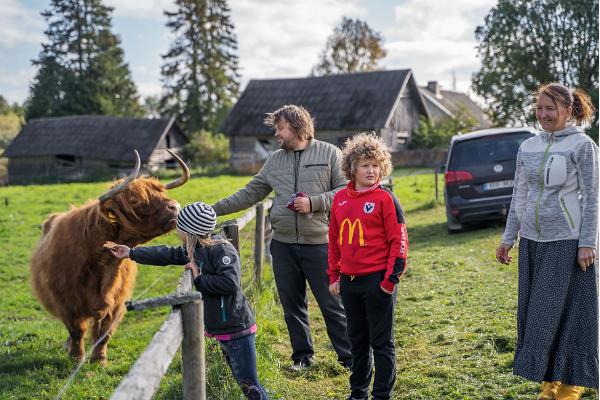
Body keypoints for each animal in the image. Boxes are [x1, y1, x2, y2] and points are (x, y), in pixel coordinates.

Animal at [30, 150, 189, 366]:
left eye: (161, 193)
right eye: (134, 200)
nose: (175, 206)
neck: (101, 263)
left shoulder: (117, 301)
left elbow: (104, 333)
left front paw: (99, 360)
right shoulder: (66, 301)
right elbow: (77, 330)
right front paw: (76, 357)